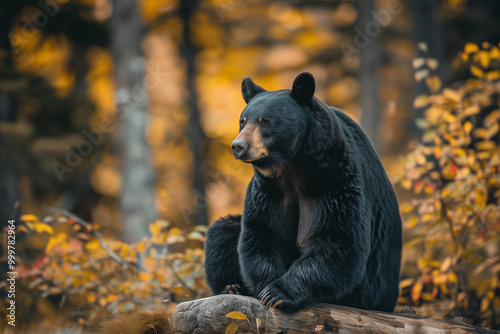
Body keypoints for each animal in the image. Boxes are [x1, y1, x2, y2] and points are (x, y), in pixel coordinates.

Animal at [203, 72, 402, 314]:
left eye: (265, 121)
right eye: (243, 120)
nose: (239, 146)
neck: (294, 166)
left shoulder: (335, 182)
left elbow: (336, 240)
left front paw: (277, 294)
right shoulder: (268, 191)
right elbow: (263, 233)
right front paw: (264, 288)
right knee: (223, 231)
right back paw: (232, 287)